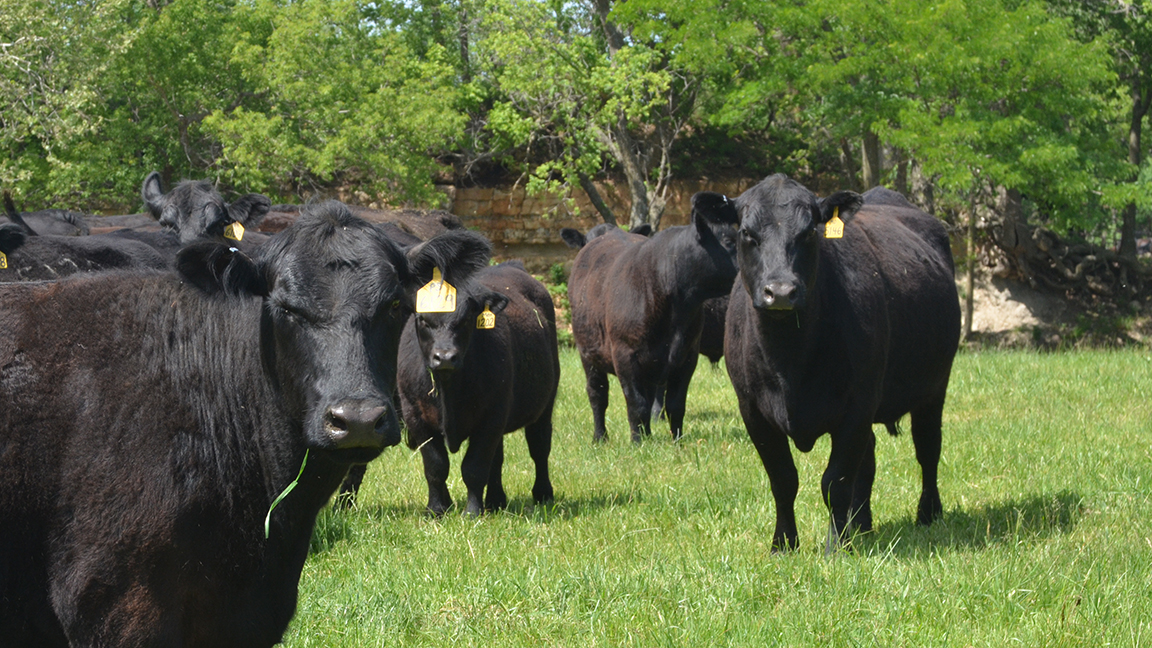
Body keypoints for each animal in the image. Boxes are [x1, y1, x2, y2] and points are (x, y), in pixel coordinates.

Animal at [395, 261, 559, 516]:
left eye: (466, 318)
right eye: (423, 319)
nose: (445, 357)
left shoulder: (491, 416)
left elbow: (474, 467)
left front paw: (472, 511)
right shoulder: (416, 416)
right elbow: (436, 466)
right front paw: (437, 509)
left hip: (544, 404)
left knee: (539, 447)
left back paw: (542, 494)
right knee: (497, 458)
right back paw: (495, 500)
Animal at [565, 196, 739, 444]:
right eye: (728, 241)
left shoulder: (687, 356)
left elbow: (675, 404)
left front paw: (677, 441)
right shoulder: (625, 355)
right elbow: (636, 404)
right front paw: (638, 443)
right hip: (588, 352)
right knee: (597, 394)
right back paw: (600, 437)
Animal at [717, 174, 961, 553]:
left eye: (809, 233)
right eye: (747, 234)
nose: (781, 291)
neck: (790, 362)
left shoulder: (857, 405)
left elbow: (835, 481)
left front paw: (836, 545)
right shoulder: (752, 410)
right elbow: (783, 479)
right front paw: (783, 544)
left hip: (934, 387)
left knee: (928, 448)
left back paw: (927, 513)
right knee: (869, 461)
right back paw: (862, 524)